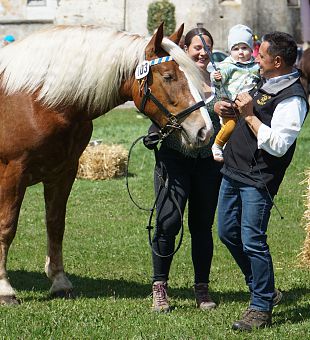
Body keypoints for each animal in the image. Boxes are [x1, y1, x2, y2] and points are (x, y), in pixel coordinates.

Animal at [0, 24, 214, 306]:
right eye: (168, 76)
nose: (204, 130)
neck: (36, 100)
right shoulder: (12, 174)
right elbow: (7, 226)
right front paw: (5, 288)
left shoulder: (63, 172)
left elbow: (56, 224)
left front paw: (59, 282)